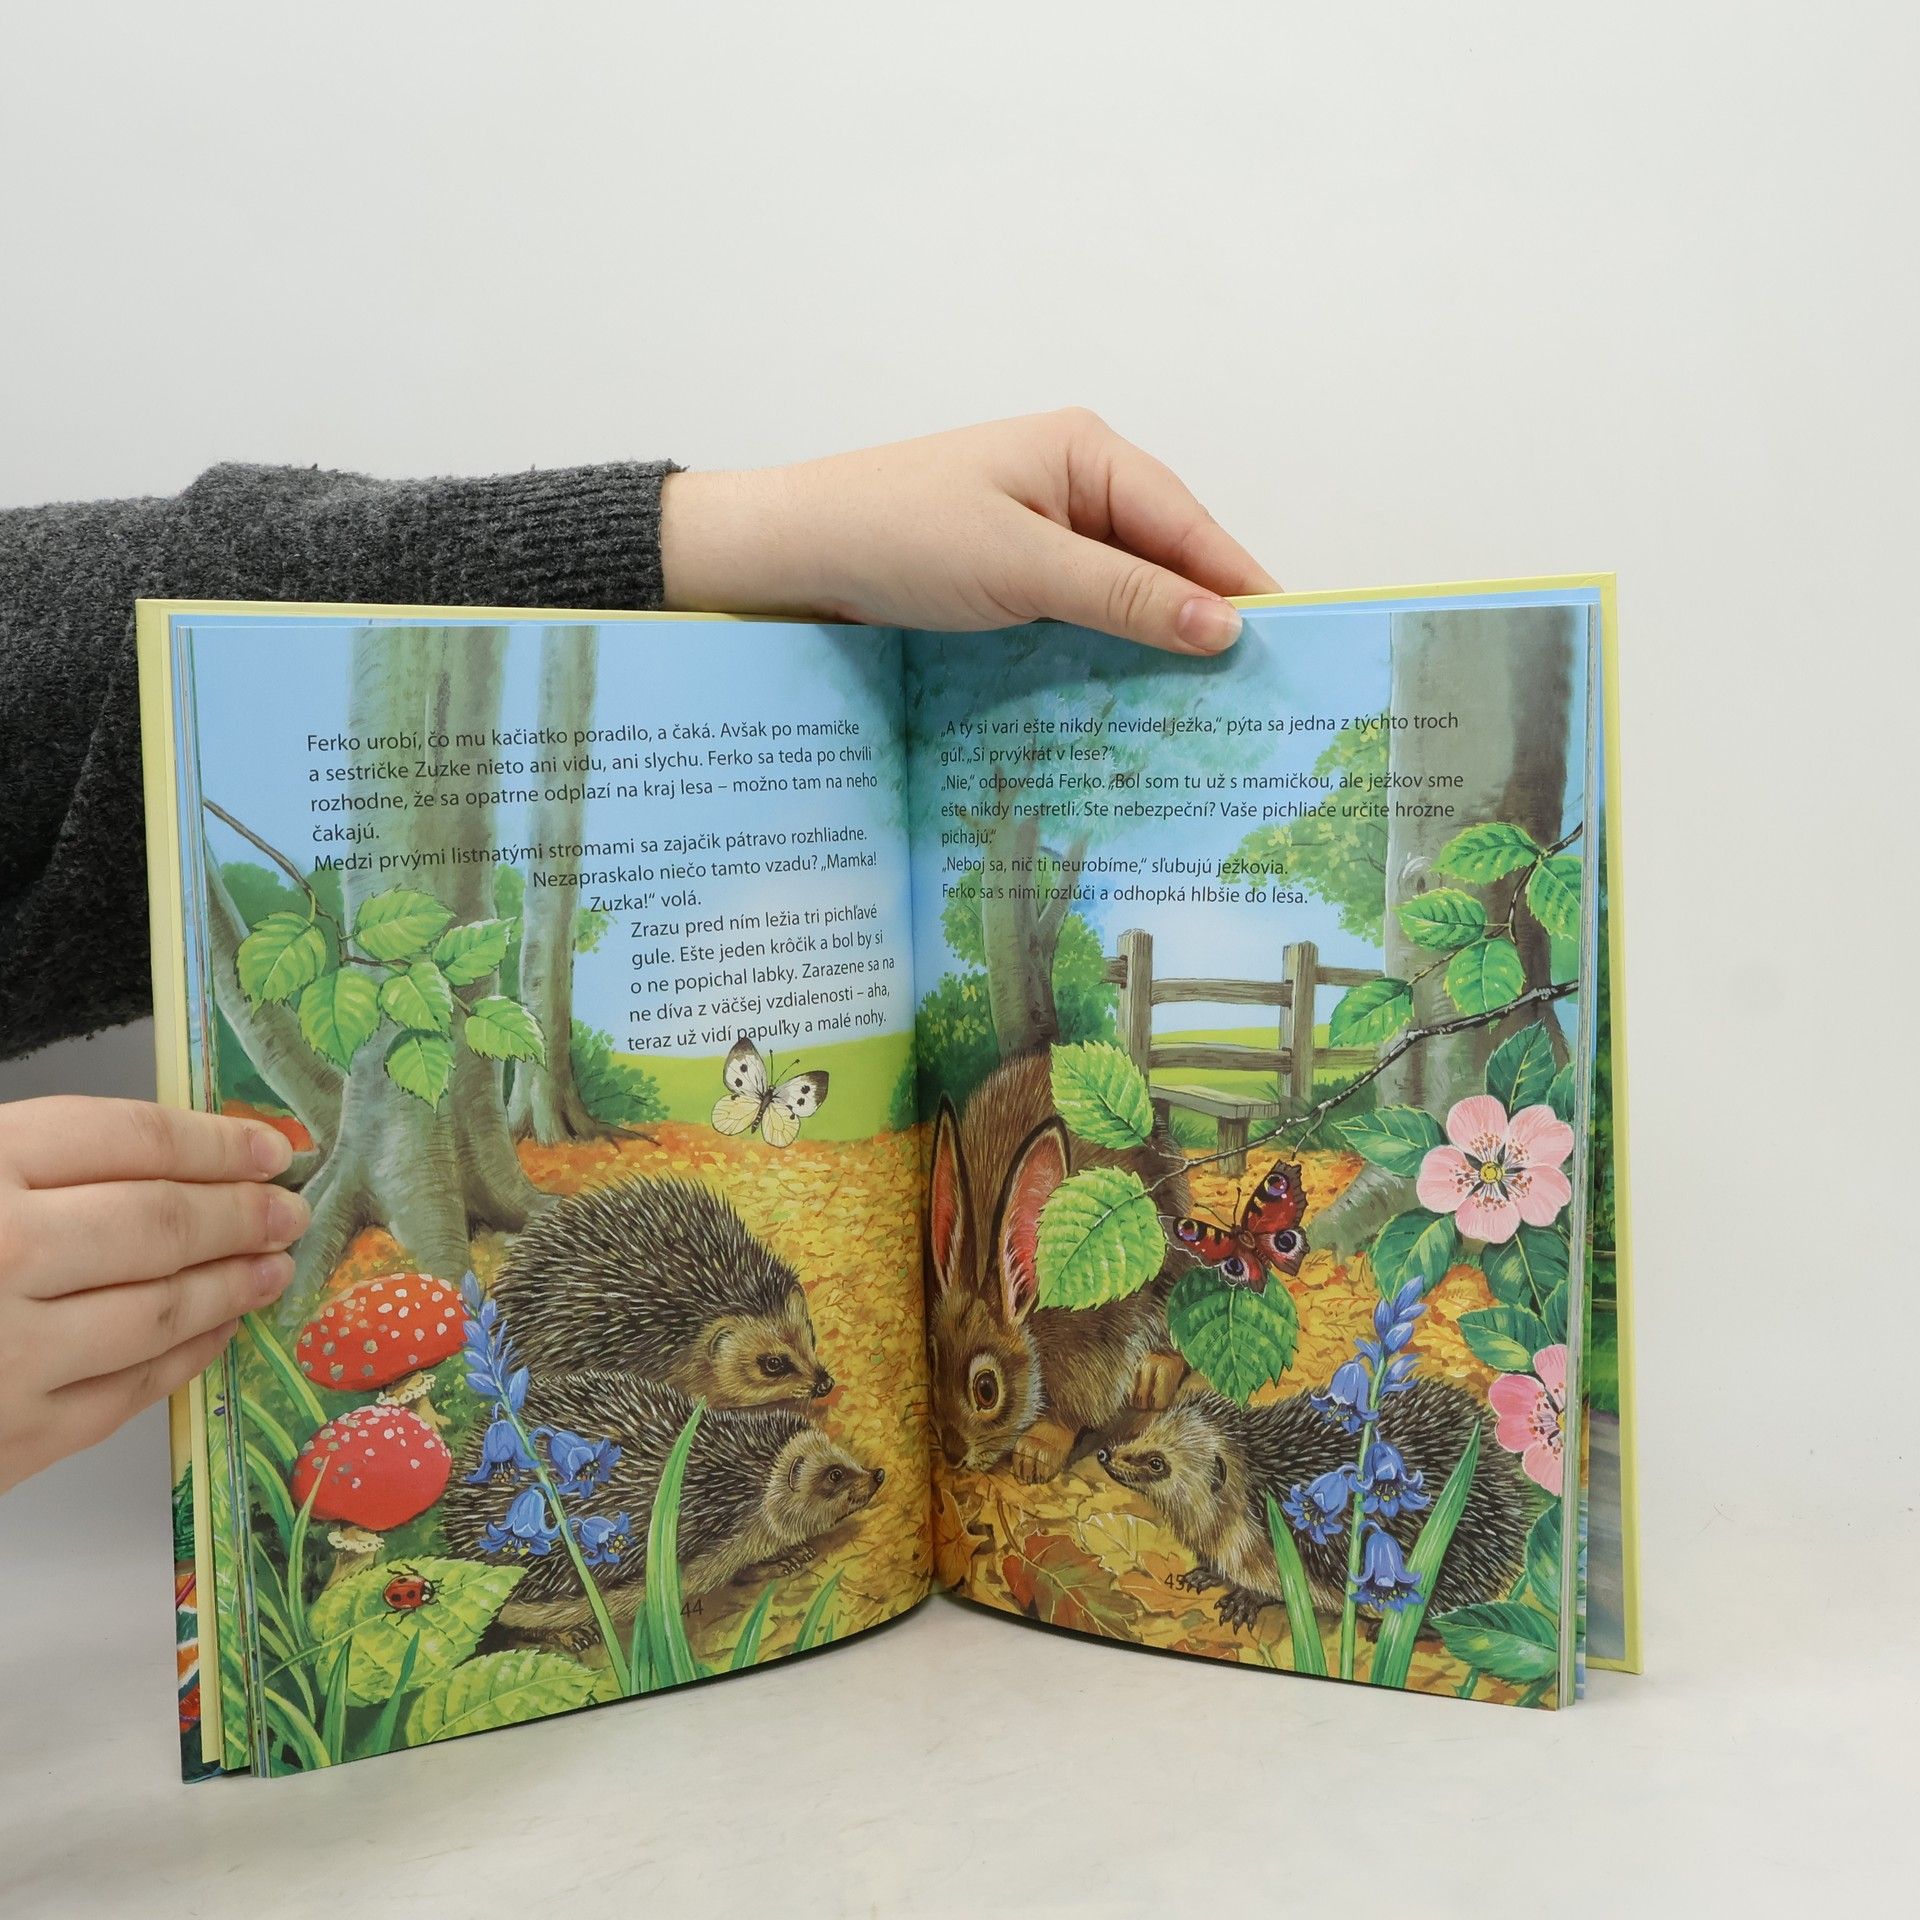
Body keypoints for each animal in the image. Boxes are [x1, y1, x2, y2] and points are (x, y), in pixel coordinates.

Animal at [442, 1371, 884, 1648]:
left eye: (843, 1456)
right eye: (834, 1476)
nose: (877, 1474)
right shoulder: (704, 1546)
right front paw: (782, 1559)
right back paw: (570, 1634)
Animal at [925, 1050, 1193, 1484]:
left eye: (986, 1390)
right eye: (931, 1362)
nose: (952, 1454)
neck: (1027, 1312)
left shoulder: (1098, 1342)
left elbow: (1077, 1408)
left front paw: (1037, 1450)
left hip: (1169, 1258)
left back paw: (1154, 1375)